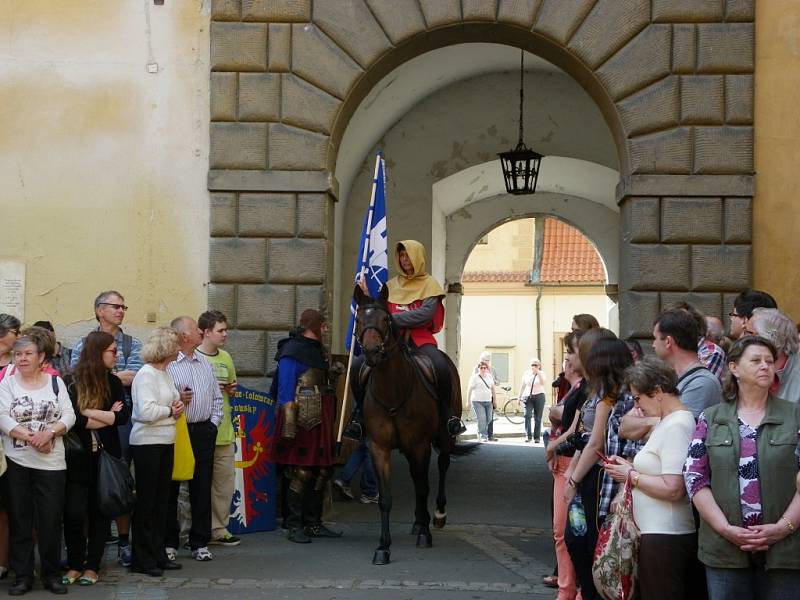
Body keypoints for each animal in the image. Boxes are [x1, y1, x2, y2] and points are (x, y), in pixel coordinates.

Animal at [354, 284, 472, 564]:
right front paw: (383, 547)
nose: (371, 353)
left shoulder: (420, 445)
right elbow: (386, 497)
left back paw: (436, 517)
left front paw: (425, 535)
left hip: (444, 437)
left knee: (442, 466)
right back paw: (419, 522)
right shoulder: (379, 447)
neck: (392, 391)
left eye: (385, 319)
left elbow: (423, 487)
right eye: (359, 319)